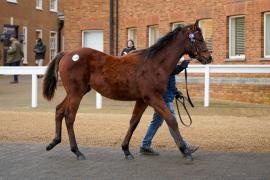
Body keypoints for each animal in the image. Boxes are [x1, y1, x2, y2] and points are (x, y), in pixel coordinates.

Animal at [42, 20, 212, 161]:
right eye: (199, 39)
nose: (209, 58)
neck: (154, 63)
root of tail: (67, 54)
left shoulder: (142, 100)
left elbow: (134, 122)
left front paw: (126, 150)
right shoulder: (153, 98)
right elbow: (171, 120)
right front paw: (185, 151)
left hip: (75, 92)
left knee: (59, 110)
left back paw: (53, 142)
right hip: (76, 93)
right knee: (69, 117)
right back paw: (77, 151)